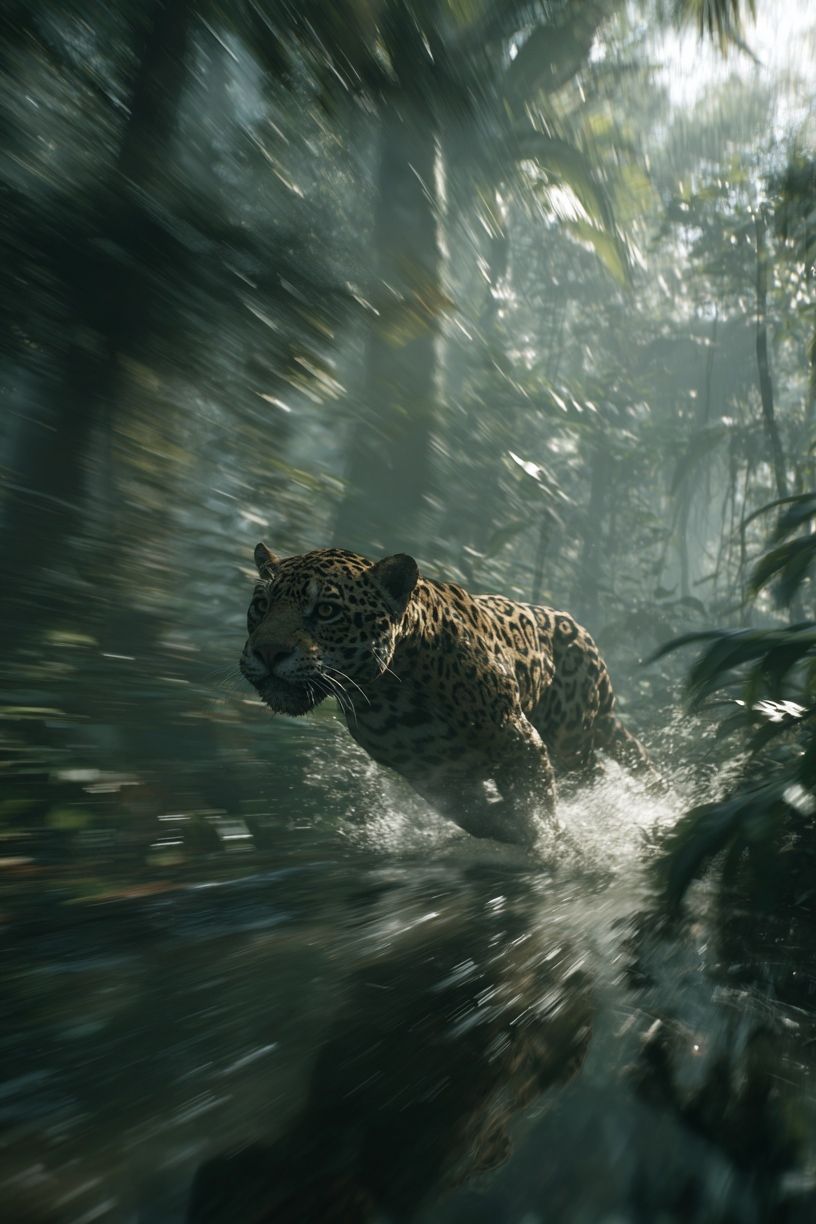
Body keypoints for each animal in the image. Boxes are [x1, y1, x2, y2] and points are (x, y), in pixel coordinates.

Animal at [239, 543, 657, 848]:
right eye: (261, 605)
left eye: (326, 610)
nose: (267, 652)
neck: (389, 690)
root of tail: (584, 635)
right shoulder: (433, 778)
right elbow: (477, 818)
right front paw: (509, 825)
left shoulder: (519, 740)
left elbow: (538, 806)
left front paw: (551, 844)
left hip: (570, 739)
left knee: (595, 772)